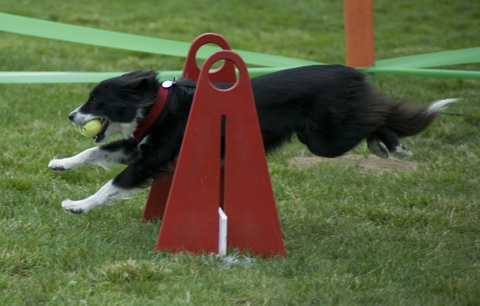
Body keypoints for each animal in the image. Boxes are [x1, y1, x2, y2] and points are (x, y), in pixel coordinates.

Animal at [48, 65, 458, 213]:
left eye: (96, 100)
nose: (70, 115)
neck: (159, 106)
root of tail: (350, 72)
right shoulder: (138, 146)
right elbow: (92, 151)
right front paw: (61, 163)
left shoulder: (151, 159)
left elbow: (111, 184)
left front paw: (77, 205)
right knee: (377, 112)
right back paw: (388, 145)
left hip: (326, 140)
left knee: (379, 112)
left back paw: (395, 145)